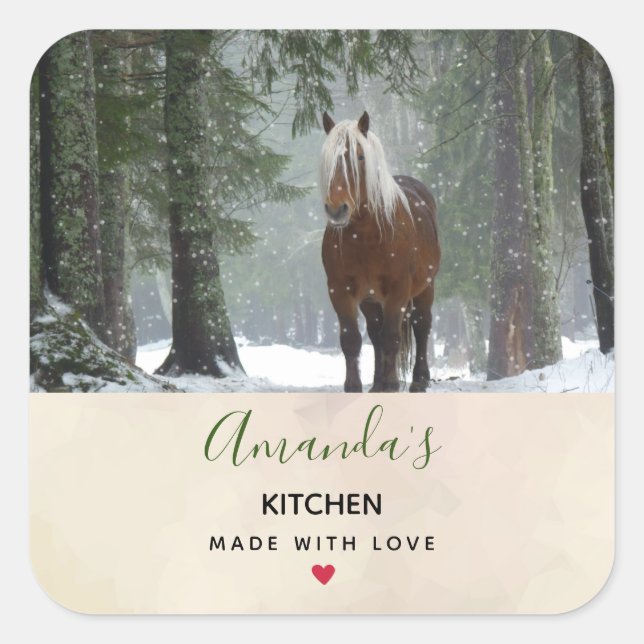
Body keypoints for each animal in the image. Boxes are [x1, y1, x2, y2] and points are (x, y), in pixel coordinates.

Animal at [320, 111, 440, 392]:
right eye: (328, 159)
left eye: (360, 157)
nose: (337, 209)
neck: (366, 236)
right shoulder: (339, 290)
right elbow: (352, 339)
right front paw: (354, 386)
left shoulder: (398, 290)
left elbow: (392, 337)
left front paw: (392, 383)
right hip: (370, 299)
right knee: (375, 334)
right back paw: (377, 383)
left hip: (425, 287)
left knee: (421, 325)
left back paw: (418, 380)